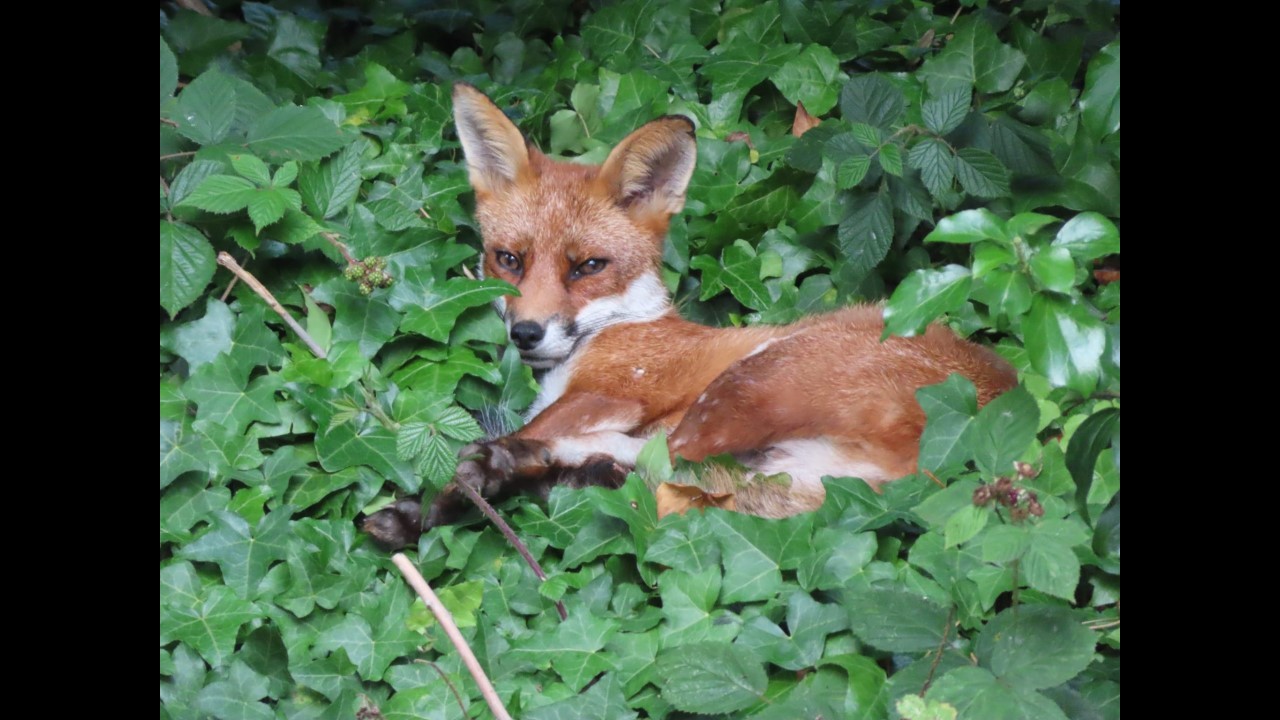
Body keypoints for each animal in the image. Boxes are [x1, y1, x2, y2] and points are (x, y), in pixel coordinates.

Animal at [361, 84, 1018, 550]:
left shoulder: (619, 392)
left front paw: (443, 496)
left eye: (588, 266)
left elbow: (536, 429)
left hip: (746, 384)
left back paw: (493, 477)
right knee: (641, 470)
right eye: (509, 260)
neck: (616, 329)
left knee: (644, 458)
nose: (526, 332)